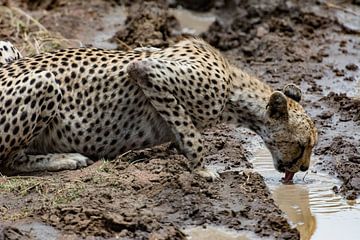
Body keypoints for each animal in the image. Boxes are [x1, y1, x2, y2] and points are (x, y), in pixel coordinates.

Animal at [0, 38, 318, 180]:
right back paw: (67, 159)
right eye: (303, 145)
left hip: (9, 47)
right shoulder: (148, 71)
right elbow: (193, 136)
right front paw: (202, 169)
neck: (234, 89)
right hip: (45, 83)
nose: (304, 168)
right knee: (8, 162)